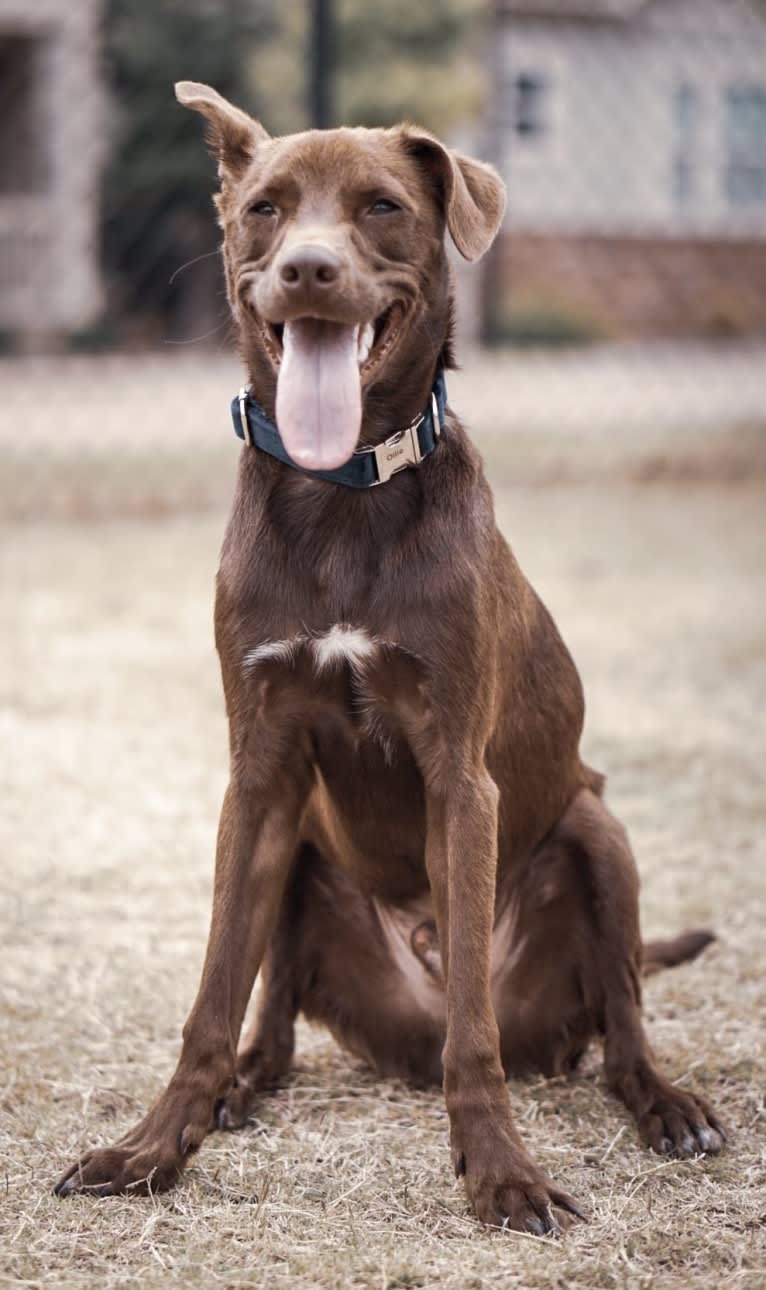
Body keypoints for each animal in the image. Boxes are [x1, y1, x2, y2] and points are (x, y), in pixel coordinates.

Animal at [53, 80, 722, 1228]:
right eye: (265, 209)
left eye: (379, 206)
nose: (308, 271)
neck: (342, 491)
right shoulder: (258, 772)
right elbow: (212, 996)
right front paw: (152, 1147)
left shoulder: (461, 777)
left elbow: (476, 1034)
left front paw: (500, 1169)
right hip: (298, 851)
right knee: (273, 1020)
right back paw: (239, 1090)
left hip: (599, 831)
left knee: (617, 1022)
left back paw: (666, 1106)